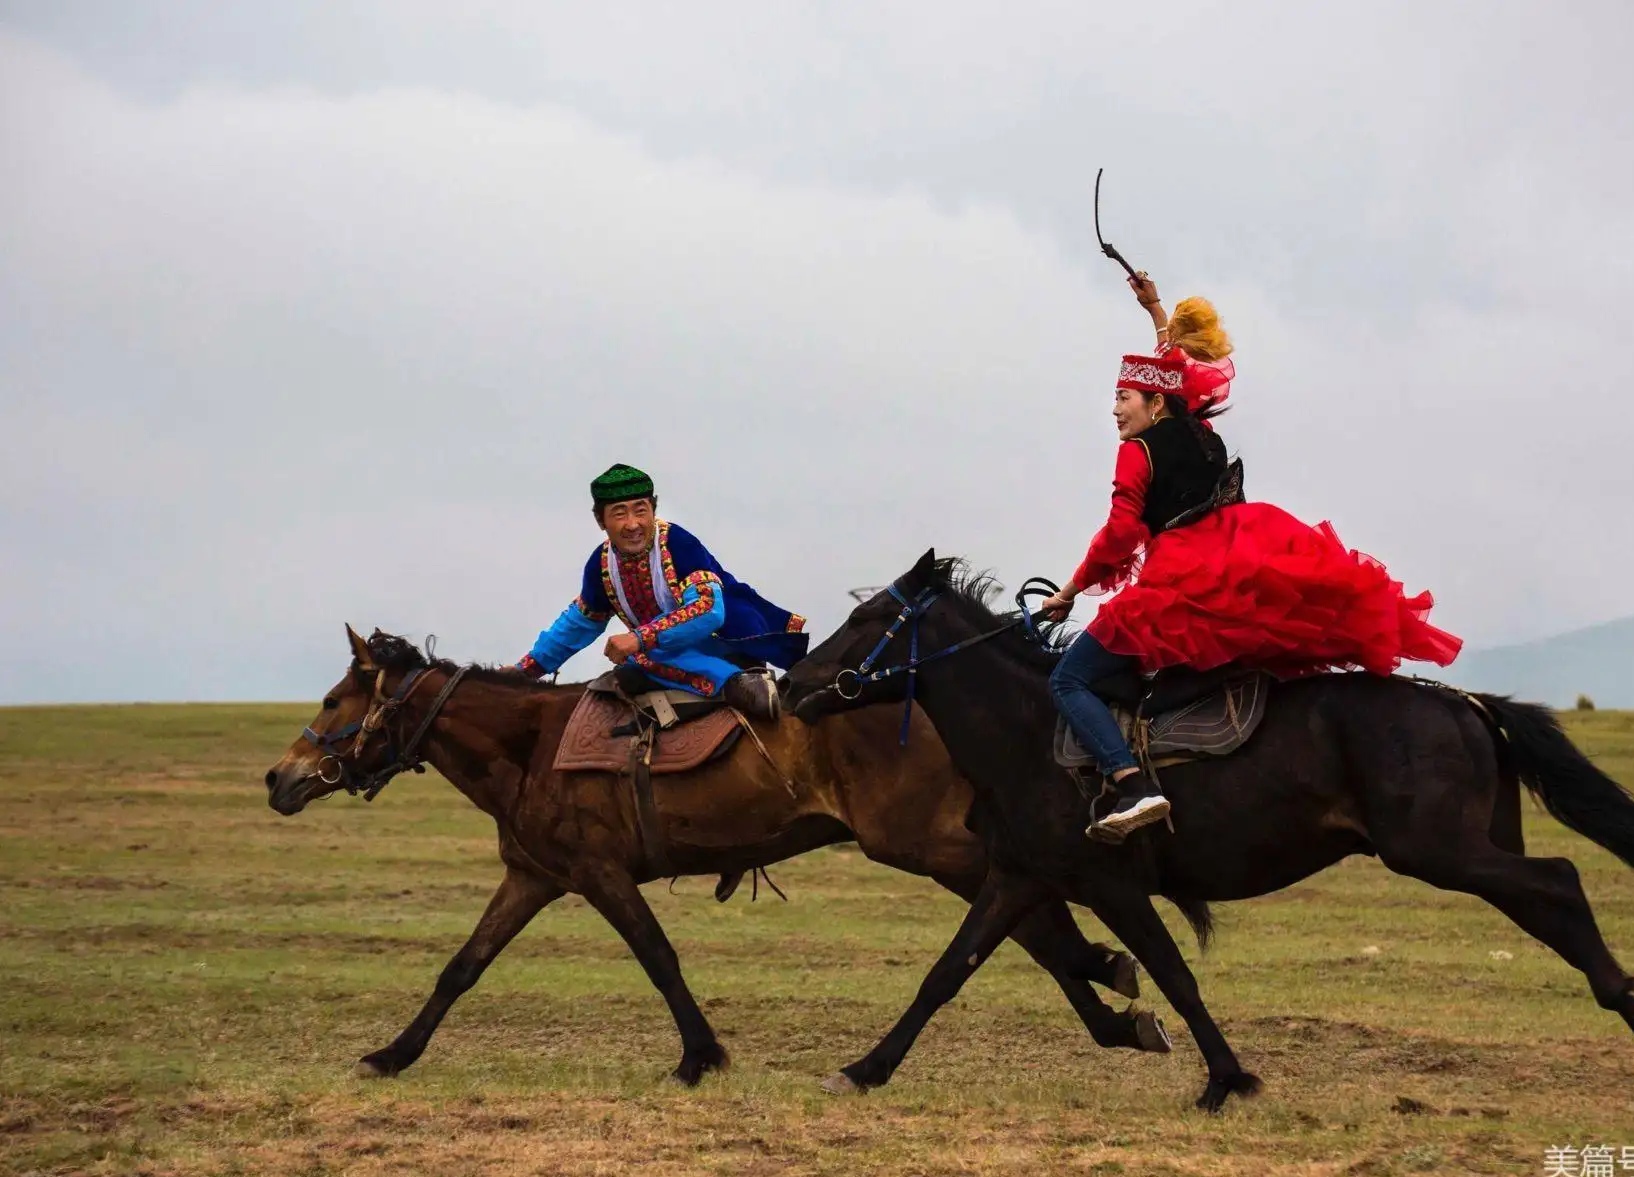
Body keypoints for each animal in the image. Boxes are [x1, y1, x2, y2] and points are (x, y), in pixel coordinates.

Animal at [261, 624, 1169, 1085]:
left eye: (334, 700)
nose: (279, 776)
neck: (529, 745)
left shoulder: (598, 874)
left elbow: (657, 956)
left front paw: (700, 1055)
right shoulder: (534, 877)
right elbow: (462, 966)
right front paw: (394, 1052)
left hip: (931, 843)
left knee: (1032, 915)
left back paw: (1112, 991)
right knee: (1033, 920)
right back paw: (1118, 1006)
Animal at [781, 552, 1634, 1111]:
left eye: (868, 618)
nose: (790, 684)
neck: (1029, 730)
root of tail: (1464, 702)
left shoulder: (1112, 885)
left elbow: (1174, 974)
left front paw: (1226, 1078)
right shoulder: (1019, 877)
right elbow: (946, 972)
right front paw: (863, 1068)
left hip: (1439, 850)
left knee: (1561, 879)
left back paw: (1622, 995)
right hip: (1466, 849)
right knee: (1549, 902)